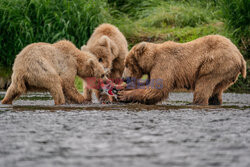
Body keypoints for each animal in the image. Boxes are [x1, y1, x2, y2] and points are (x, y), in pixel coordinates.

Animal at [118, 35, 247, 105]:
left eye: (127, 64)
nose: (124, 78)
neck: (151, 60)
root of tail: (241, 57)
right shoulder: (152, 70)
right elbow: (148, 84)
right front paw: (124, 88)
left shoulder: (164, 64)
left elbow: (156, 89)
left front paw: (123, 95)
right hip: (226, 74)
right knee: (216, 92)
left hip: (216, 64)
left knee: (203, 85)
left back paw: (196, 102)